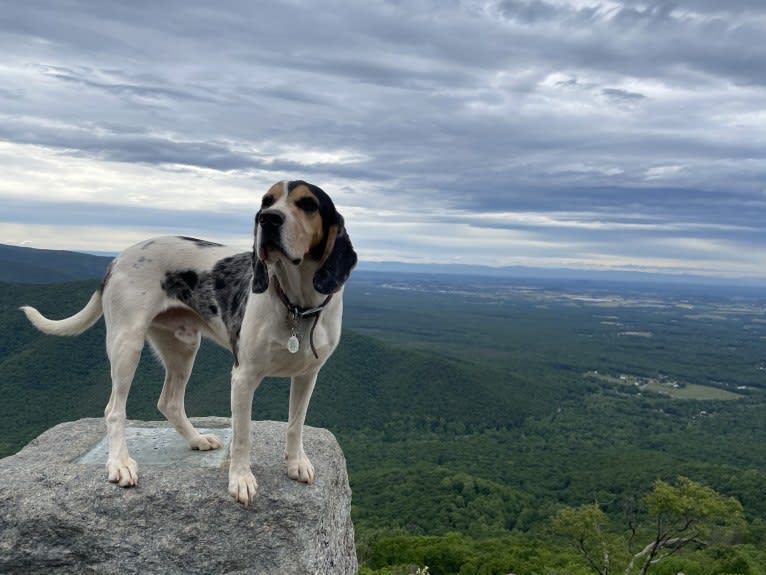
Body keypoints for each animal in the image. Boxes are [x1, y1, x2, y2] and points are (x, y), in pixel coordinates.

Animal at [20, 179, 356, 504]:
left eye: (308, 204)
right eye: (266, 201)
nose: (268, 219)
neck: (297, 304)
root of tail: (117, 259)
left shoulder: (307, 375)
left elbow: (296, 424)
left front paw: (296, 463)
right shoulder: (243, 376)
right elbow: (243, 435)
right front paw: (240, 479)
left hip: (182, 347)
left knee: (168, 401)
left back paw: (196, 440)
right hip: (127, 343)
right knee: (114, 409)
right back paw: (120, 463)